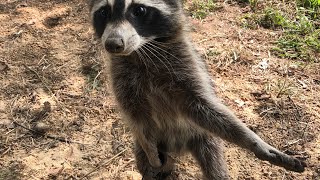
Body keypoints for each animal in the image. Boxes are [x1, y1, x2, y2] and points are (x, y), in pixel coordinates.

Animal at [86, 0, 306, 179]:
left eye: (139, 10)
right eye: (104, 12)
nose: (113, 44)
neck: (142, 51)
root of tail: (178, 148)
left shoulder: (184, 66)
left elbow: (203, 105)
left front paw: (255, 141)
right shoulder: (122, 77)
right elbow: (136, 117)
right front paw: (151, 153)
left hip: (202, 137)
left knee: (214, 160)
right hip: (147, 146)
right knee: (144, 154)